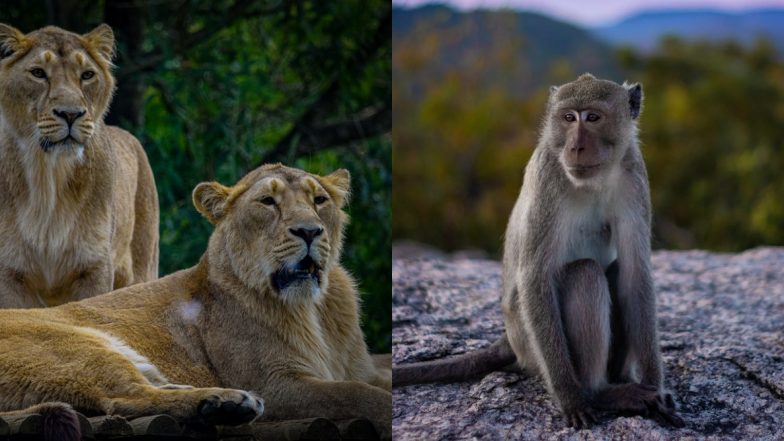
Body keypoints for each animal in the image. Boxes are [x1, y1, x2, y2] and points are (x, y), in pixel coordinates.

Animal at [0, 23, 159, 308]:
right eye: (38, 73)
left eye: (87, 75)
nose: (70, 113)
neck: (49, 174)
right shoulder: (10, 272)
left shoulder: (94, 268)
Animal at [0, 164, 392, 440]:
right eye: (268, 202)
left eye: (319, 200)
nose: (310, 231)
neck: (315, 309)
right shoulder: (277, 385)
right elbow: (357, 395)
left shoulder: (363, 368)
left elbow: (373, 380)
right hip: (75, 348)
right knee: (124, 398)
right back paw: (228, 403)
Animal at [394, 74, 684, 429]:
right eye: (569, 118)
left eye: (593, 117)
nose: (575, 147)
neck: (593, 182)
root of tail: (509, 338)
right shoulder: (549, 176)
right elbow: (535, 277)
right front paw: (570, 396)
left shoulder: (633, 175)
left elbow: (635, 273)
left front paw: (656, 388)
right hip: (529, 341)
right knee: (585, 273)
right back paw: (600, 392)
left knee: (613, 270)